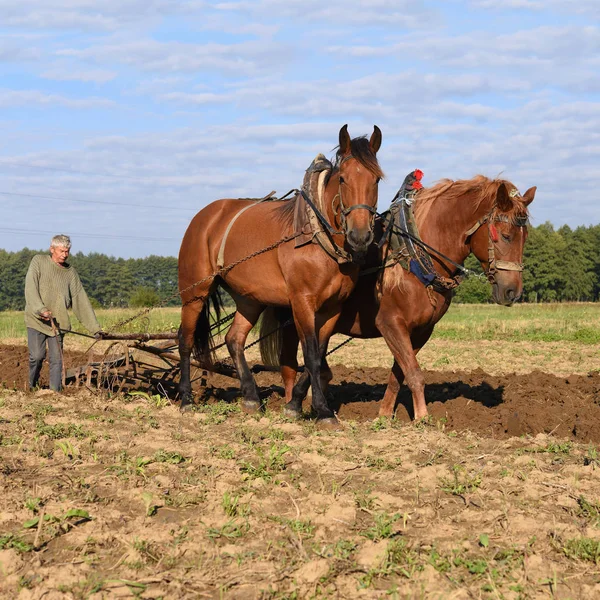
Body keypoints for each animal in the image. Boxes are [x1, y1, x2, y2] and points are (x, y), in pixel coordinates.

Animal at [179, 123, 384, 422]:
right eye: (343, 179)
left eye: (377, 179)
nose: (360, 237)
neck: (316, 237)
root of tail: (204, 216)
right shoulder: (301, 302)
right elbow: (311, 356)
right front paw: (322, 411)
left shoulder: (333, 308)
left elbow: (319, 354)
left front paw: (295, 404)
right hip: (194, 293)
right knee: (185, 340)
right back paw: (185, 398)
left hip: (249, 298)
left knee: (234, 339)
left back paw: (251, 398)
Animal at [262, 172, 536, 418]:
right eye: (505, 235)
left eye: (525, 238)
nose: (512, 292)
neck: (415, 256)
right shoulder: (390, 323)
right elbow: (414, 372)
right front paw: (422, 418)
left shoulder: (421, 330)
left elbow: (400, 372)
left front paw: (384, 414)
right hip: (296, 316)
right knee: (289, 364)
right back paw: (291, 403)